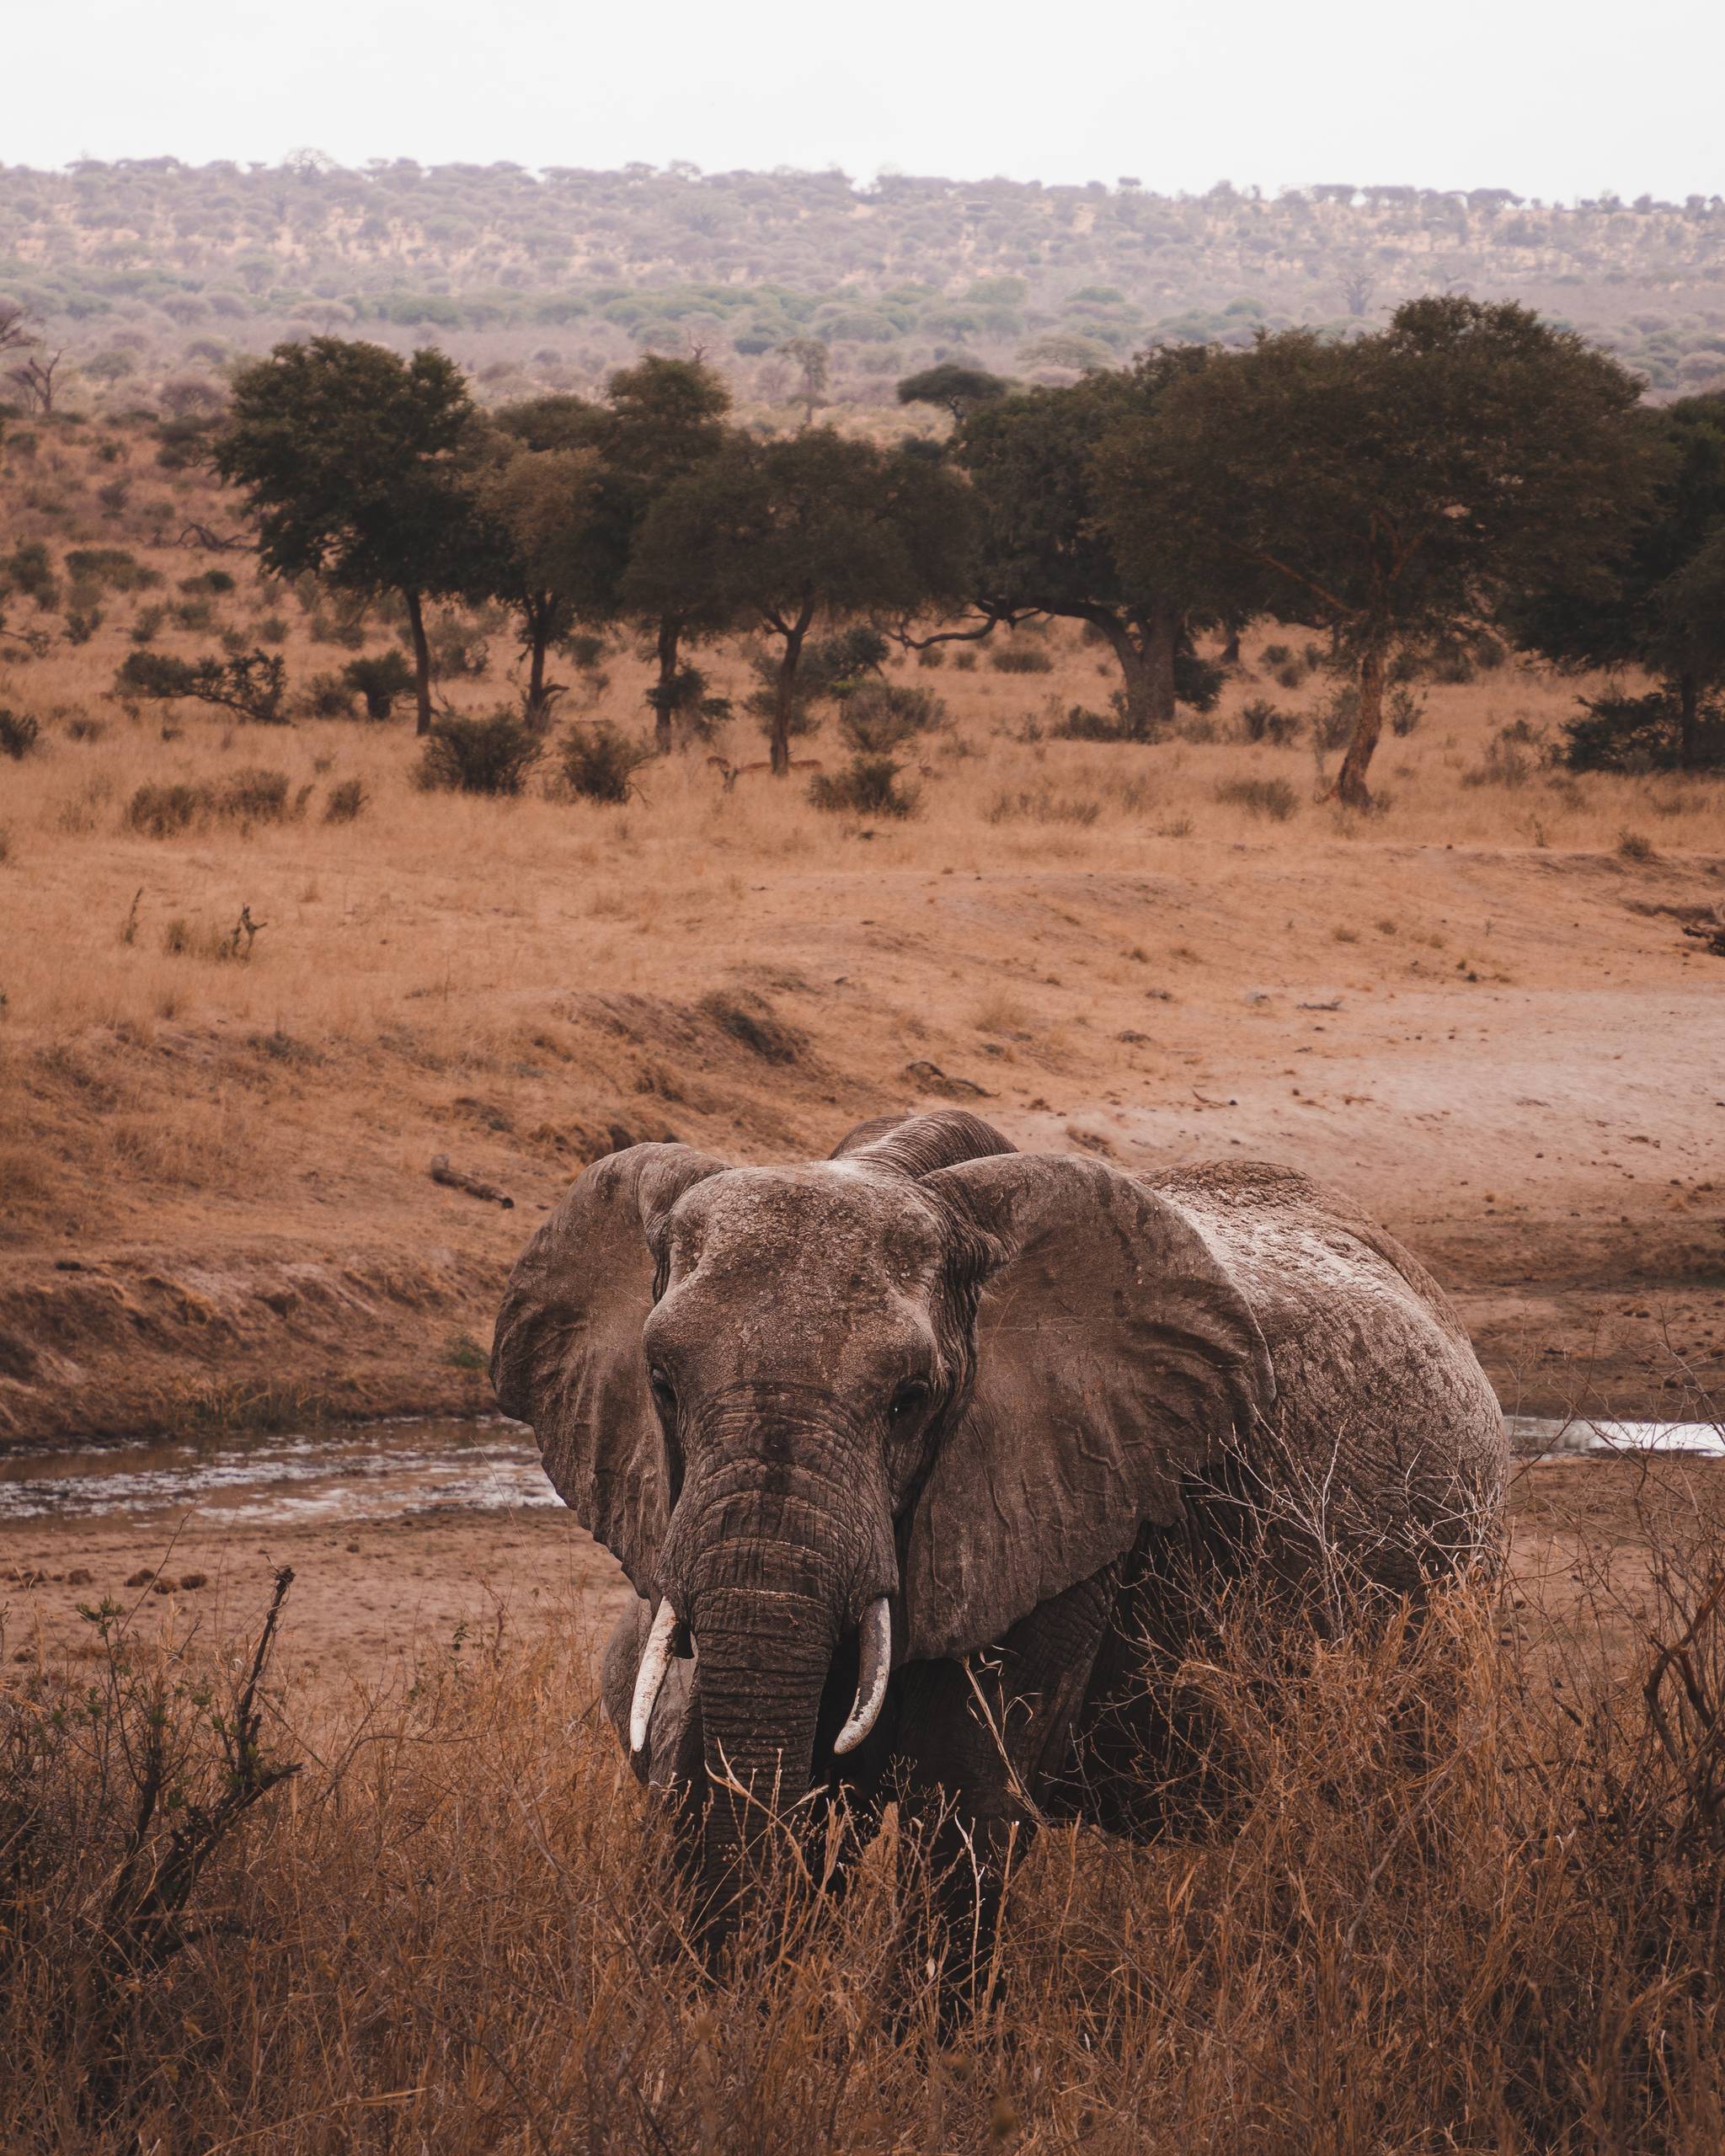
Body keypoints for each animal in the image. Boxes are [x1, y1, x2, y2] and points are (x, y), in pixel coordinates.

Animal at [491, 1112, 1500, 1974]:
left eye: (910, 1400)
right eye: (661, 1383)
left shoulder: (1070, 1501)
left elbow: (962, 1803)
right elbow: (733, 1769)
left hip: (1451, 1578)